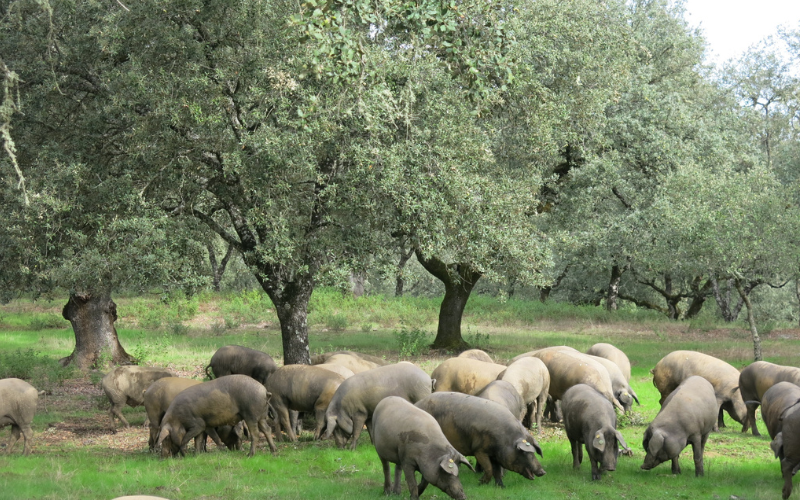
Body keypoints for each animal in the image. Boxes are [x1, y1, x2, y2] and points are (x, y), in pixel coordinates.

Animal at [415, 392, 546, 487]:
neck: (505, 439)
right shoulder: (479, 450)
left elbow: (497, 471)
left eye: (534, 453)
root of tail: (416, 404)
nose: (543, 471)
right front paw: (480, 483)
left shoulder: (495, 455)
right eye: (524, 453)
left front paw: (501, 487)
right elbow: (489, 468)